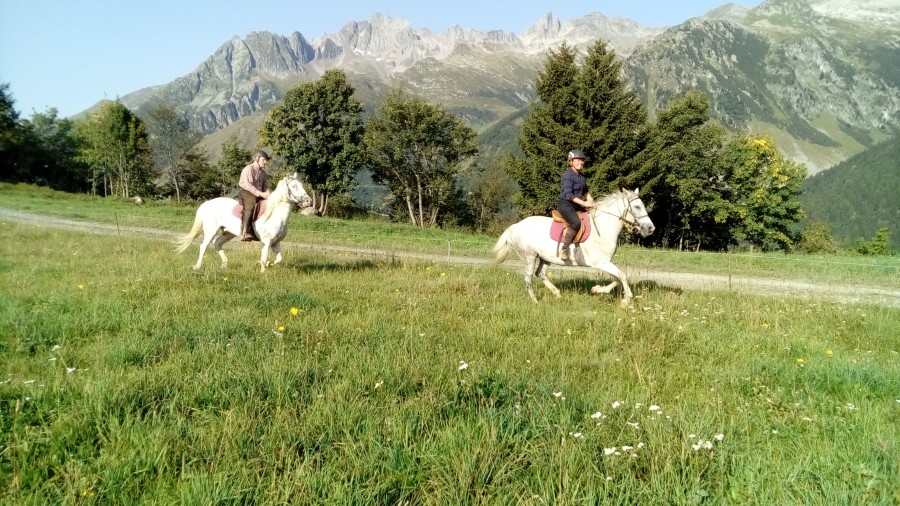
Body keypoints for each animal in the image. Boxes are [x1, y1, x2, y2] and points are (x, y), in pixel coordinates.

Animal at [176, 173, 312, 272]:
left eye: (301, 185)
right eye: (294, 186)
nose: (308, 201)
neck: (274, 214)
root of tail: (207, 203)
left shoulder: (275, 242)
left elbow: (279, 259)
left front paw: (265, 264)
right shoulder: (267, 242)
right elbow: (264, 259)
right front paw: (262, 271)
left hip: (228, 233)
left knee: (217, 244)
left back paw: (224, 265)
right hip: (211, 230)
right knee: (203, 246)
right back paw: (197, 266)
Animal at [492, 189, 652, 306]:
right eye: (637, 207)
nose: (651, 228)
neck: (603, 227)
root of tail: (514, 227)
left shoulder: (606, 262)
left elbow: (617, 277)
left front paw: (596, 290)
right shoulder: (601, 262)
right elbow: (622, 275)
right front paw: (626, 300)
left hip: (545, 257)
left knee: (540, 274)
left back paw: (557, 293)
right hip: (529, 256)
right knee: (528, 279)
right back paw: (535, 301)